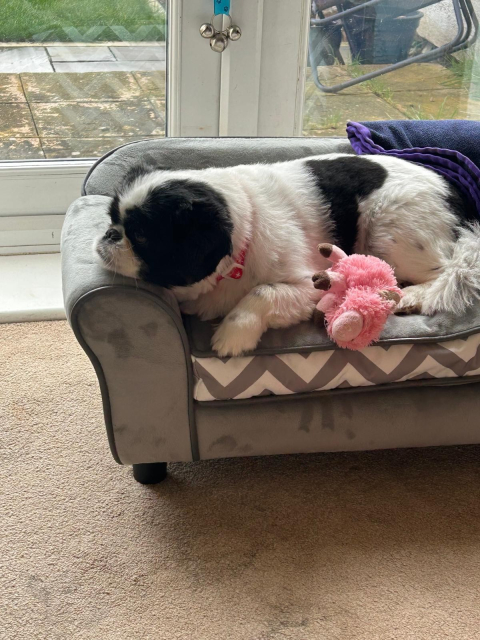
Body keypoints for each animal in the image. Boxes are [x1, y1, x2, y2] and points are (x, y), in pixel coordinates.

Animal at [94, 153, 480, 358]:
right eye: (112, 219)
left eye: (141, 236)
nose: (111, 235)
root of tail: (453, 191)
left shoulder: (310, 285)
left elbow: (261, 292)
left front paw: (234, 334)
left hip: (389, 229)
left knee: (443, 272)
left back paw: (410, 296)